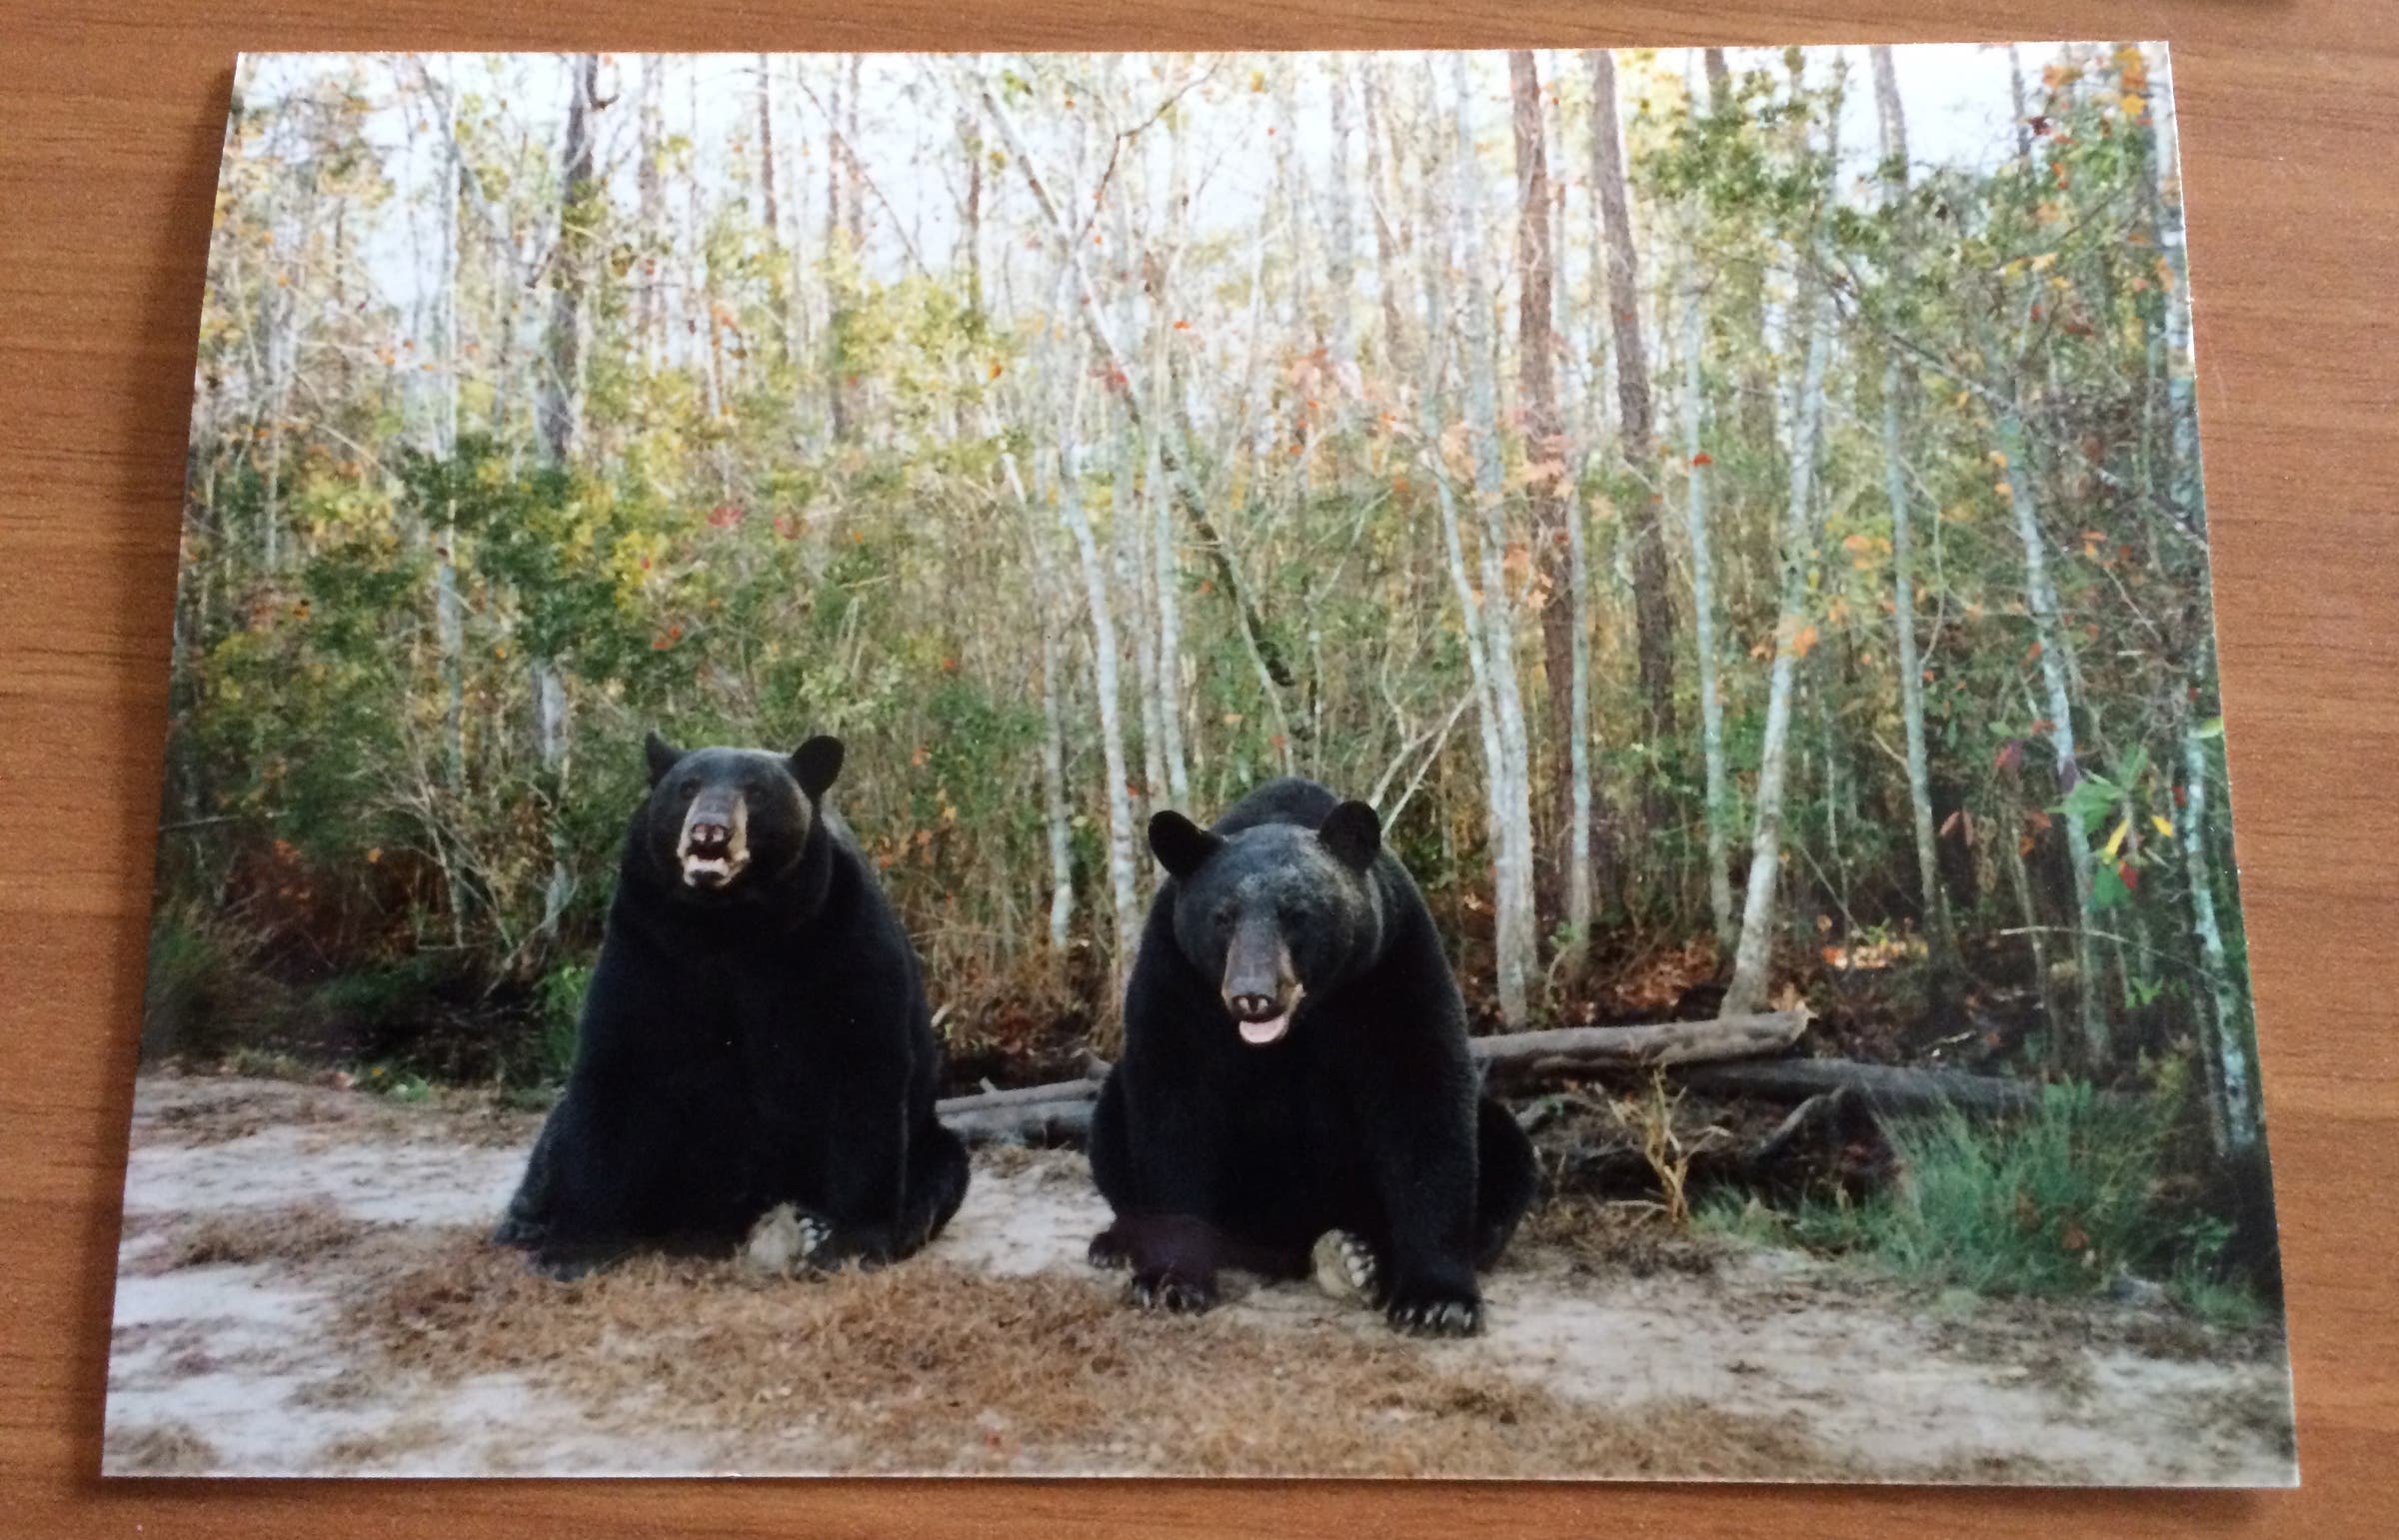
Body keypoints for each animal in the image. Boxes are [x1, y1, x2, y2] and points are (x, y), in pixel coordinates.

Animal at [492, 732, 968, 1278]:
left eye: (756, 792)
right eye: (688, 787)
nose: (709, 832)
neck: (730, 926)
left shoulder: (846, 940)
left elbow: (866, 1070)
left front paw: (852, 1242)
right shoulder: (644, 941)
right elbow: (613, 1068)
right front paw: (572, 1247)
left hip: (926, 1141)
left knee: (941, 1168)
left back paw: (827, 1223)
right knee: (559, 1129)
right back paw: (524, 1221)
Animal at [1085, 776, 1537, 1336]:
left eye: (1296, 914)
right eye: (1222, 917)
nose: (1252, 996)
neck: (1299, 1022)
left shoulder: (1391, 966)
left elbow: (1423, 1097)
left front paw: (1437, 1301)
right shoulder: (1175, 977)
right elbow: (1171, 1101)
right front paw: (1170, 1280)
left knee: (1505, 1147)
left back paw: (1358, 1255)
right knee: (1110, 1123)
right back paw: (1115, 1242)